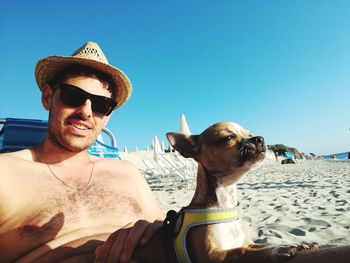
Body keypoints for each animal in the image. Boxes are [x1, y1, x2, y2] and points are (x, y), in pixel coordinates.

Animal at [130, 122, 316, 262]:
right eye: (228, 138)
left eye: (250, 133)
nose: (259, 138)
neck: (225, 202)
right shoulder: (212, 256)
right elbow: (241, 252)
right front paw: (280, 250)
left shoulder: (248, 243)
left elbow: (263, 245)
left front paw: (287, 245)